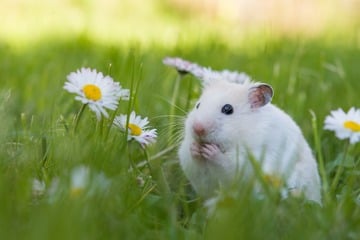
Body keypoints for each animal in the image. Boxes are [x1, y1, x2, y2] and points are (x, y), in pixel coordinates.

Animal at [179, 79, 322, 203]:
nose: (197, 128)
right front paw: (194, 148)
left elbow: (228, 164)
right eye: (198, 105)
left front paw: (211, 151)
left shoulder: (251, 161)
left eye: (228, 109)